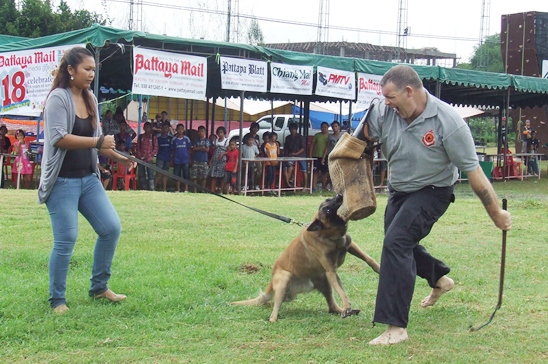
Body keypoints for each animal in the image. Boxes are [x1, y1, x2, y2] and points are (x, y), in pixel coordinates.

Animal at [229, 195, 378, 322]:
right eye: (327, 209)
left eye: (329, 199)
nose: (339, 195)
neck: (326, 234)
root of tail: (271, 283)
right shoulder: (331, 271)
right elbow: (342, 292)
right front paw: (347, 305)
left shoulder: (350, 245)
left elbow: (368, 258)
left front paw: (378, 268)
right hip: (284, 279)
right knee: (273, 312)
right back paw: (274, 319)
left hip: (324, 281)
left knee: (332, 307)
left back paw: (344, 311)